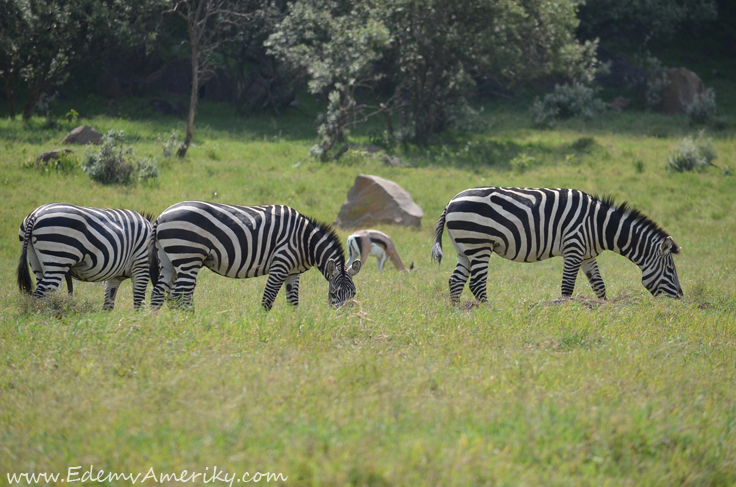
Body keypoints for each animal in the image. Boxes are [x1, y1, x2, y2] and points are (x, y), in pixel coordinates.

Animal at [16, 204, 154, 310]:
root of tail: (34, 215)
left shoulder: (115, 277)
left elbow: (108, 305)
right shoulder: (141, 267)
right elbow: (139, 303)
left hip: (35, 261)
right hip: (58, 259)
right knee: (40, 294)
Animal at [147, 201, 362, 308]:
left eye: (353, 294)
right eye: (333, 294)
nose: (341, 321)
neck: (305, 241)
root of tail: (161, 216)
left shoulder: (293, 272)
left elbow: (293, 302)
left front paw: (293, 326)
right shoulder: (280, 264)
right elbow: (267, 300)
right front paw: (262, 328)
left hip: (168, 261)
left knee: (158, 294)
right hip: (188, 257)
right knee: (178, 296)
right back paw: (187, 324)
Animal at [432, 189, 684, 304]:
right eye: (671, 270)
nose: (681, 299)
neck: (599, 226)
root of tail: (450, 202)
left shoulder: (587, 255)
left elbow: (599, 286)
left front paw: (602, 308)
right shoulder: (574, 248)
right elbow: (567, 287)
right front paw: (565, 310)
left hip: (464, 248)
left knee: (456, 280)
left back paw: (459, 311)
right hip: (479, 245)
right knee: (476, 283)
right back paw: (488, 310)